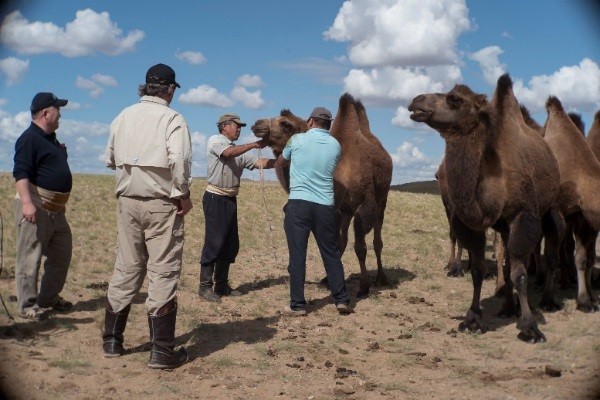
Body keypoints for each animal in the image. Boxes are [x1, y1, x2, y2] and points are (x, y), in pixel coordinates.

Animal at [250, 91, 394, 296]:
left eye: (285, 123)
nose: (257, 124)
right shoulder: (336, 208)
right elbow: (336, 243)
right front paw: (331, 280)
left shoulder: (363, 205)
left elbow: (360, 247)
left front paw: (364, 286)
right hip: (346, 211)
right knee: (343, 239)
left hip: (382, 199)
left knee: (377, 240)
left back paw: (382, 278)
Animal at [408, 73, 564, 342]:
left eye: (454, 99)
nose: (416, 100)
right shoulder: (473, 224)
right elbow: (479, 270)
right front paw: (472, 318)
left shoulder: (523, 215)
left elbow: (520, 273)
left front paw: (530, 327)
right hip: (503, 226)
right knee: (506, 259)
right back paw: (508, 306)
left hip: (549, 211)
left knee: (549, 254)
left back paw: (547, 300)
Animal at [540, 97, 596, 312]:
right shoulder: (554, 213)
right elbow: (551, 257)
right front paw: (547, 300)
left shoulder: (580, 216)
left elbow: (581, 257)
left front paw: (586, 300)